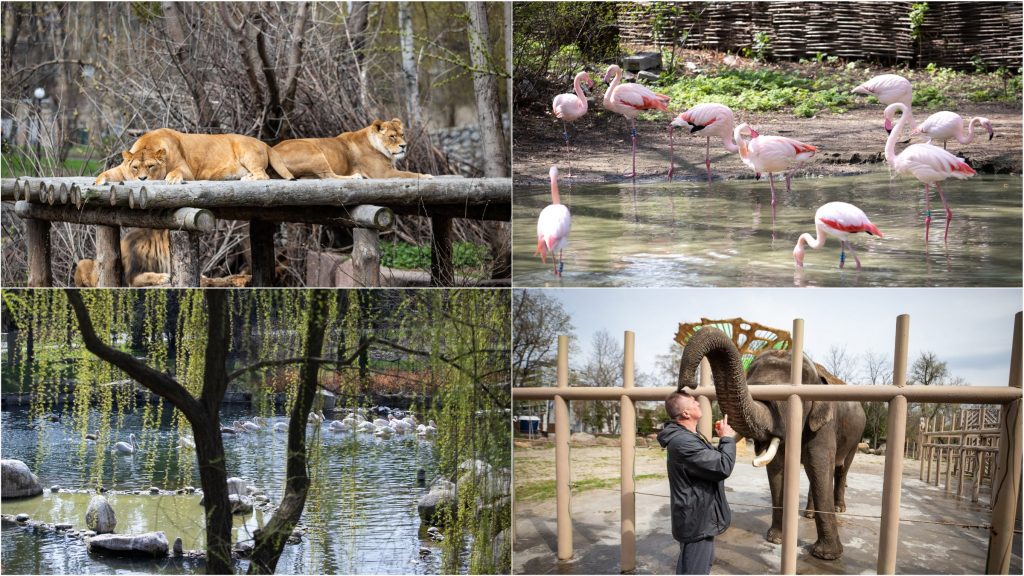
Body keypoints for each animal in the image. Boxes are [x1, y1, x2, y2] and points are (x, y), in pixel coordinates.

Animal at [679, 325, 864, 557]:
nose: (687, 385)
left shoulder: (824, 424)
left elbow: (818, 463)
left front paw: (826, 555)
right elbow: (777, 469)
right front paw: (775, 539)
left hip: (856, 437)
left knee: (840, 469)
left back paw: (838, 508)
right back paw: (808, 515)